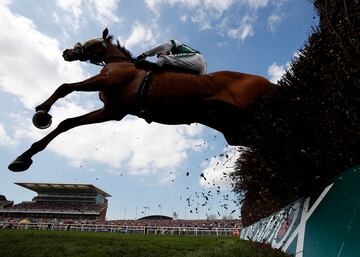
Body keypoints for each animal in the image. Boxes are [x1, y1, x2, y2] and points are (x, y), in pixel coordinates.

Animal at [8, 28, 278, 171]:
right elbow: (67, 123)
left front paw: (42, 112)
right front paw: (23, 157)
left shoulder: (108, 82)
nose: (67, 52)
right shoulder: (112, 110)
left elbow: (65, 87)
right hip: (237, 130)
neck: (120, 63)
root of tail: (271, 83)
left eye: (91, 41)